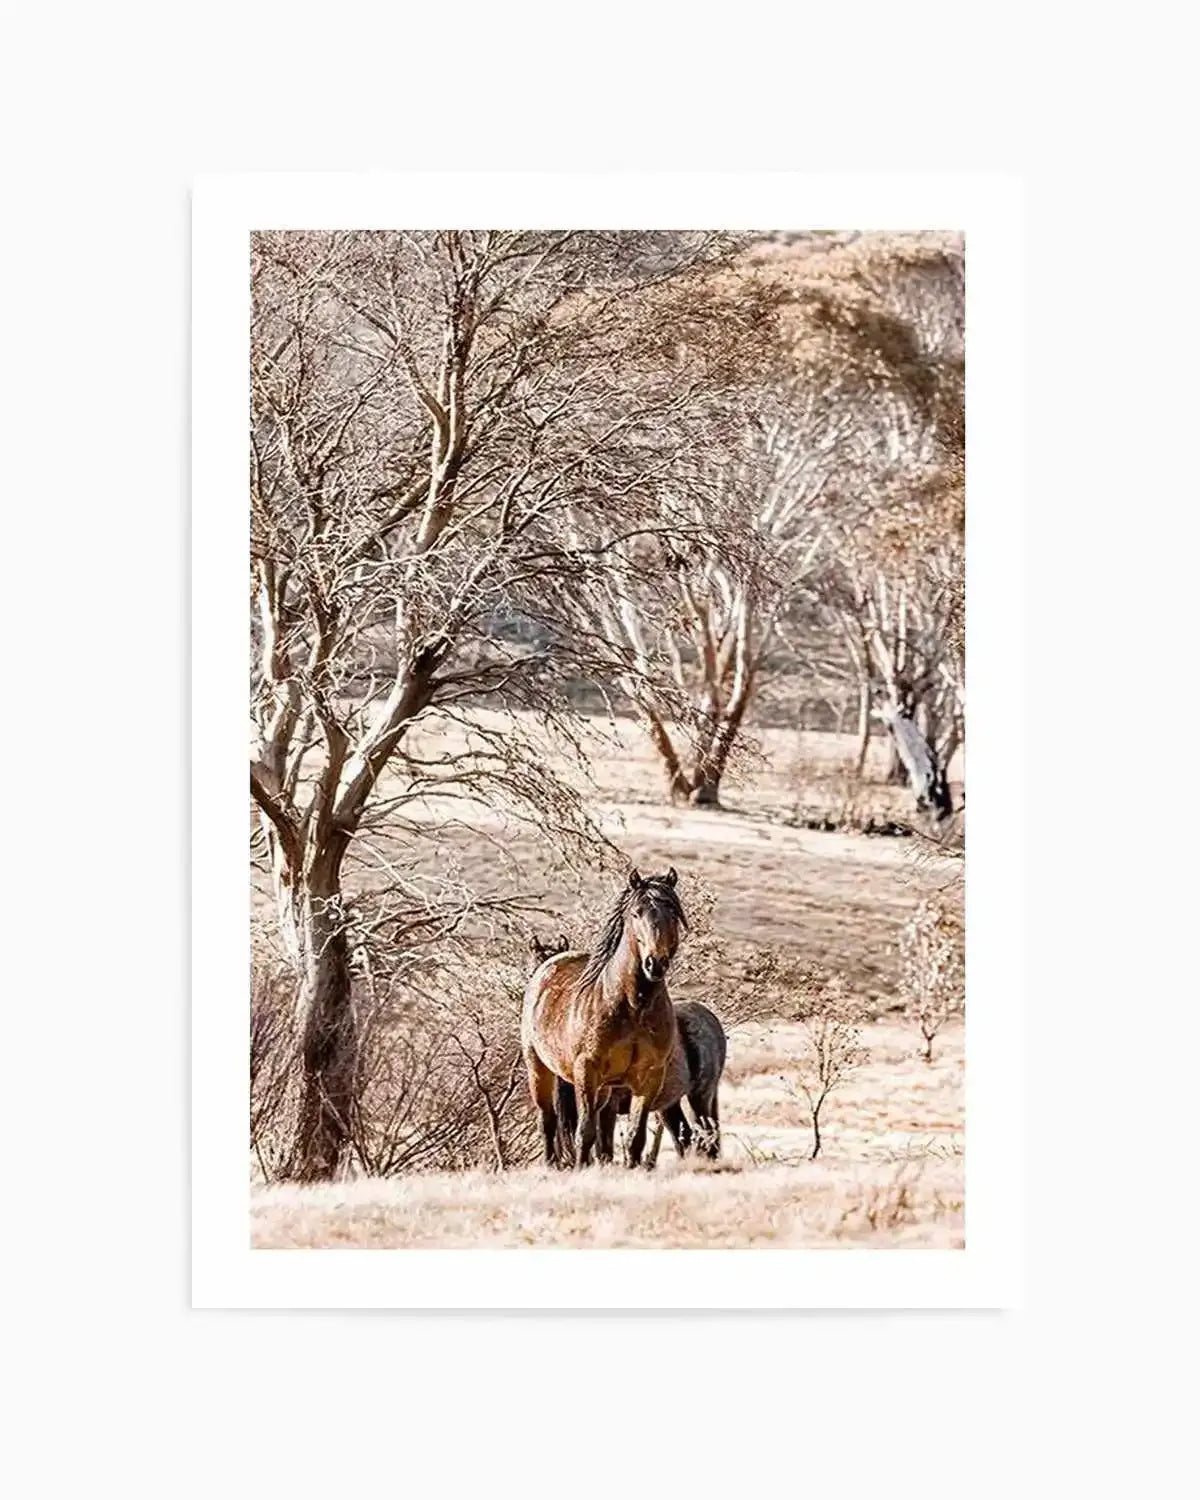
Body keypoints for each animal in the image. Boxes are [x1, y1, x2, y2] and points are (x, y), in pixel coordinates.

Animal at [521, 867, 687, 1168]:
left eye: (672, 911)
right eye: (636, 913)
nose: (655, 963)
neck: (632, 1005)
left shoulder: (649, 1077)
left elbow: (634, 1136)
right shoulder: (587, 1071)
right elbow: (585, 1131)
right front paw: (581, 1168)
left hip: (607, 1089)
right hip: (539, 1069)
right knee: (548, 1120)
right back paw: (552, 1164)